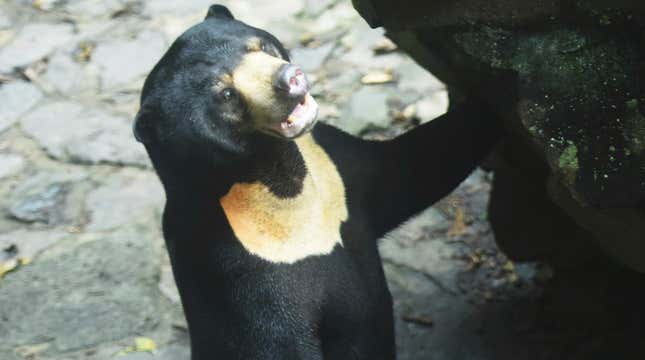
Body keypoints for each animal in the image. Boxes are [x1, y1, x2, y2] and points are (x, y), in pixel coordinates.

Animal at [133, 3, 500, 360]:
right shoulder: (239, 276)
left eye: (260, 46)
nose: (289, 78)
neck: (282, 179)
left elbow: (413, 166)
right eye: (226, 94)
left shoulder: (337, 169)